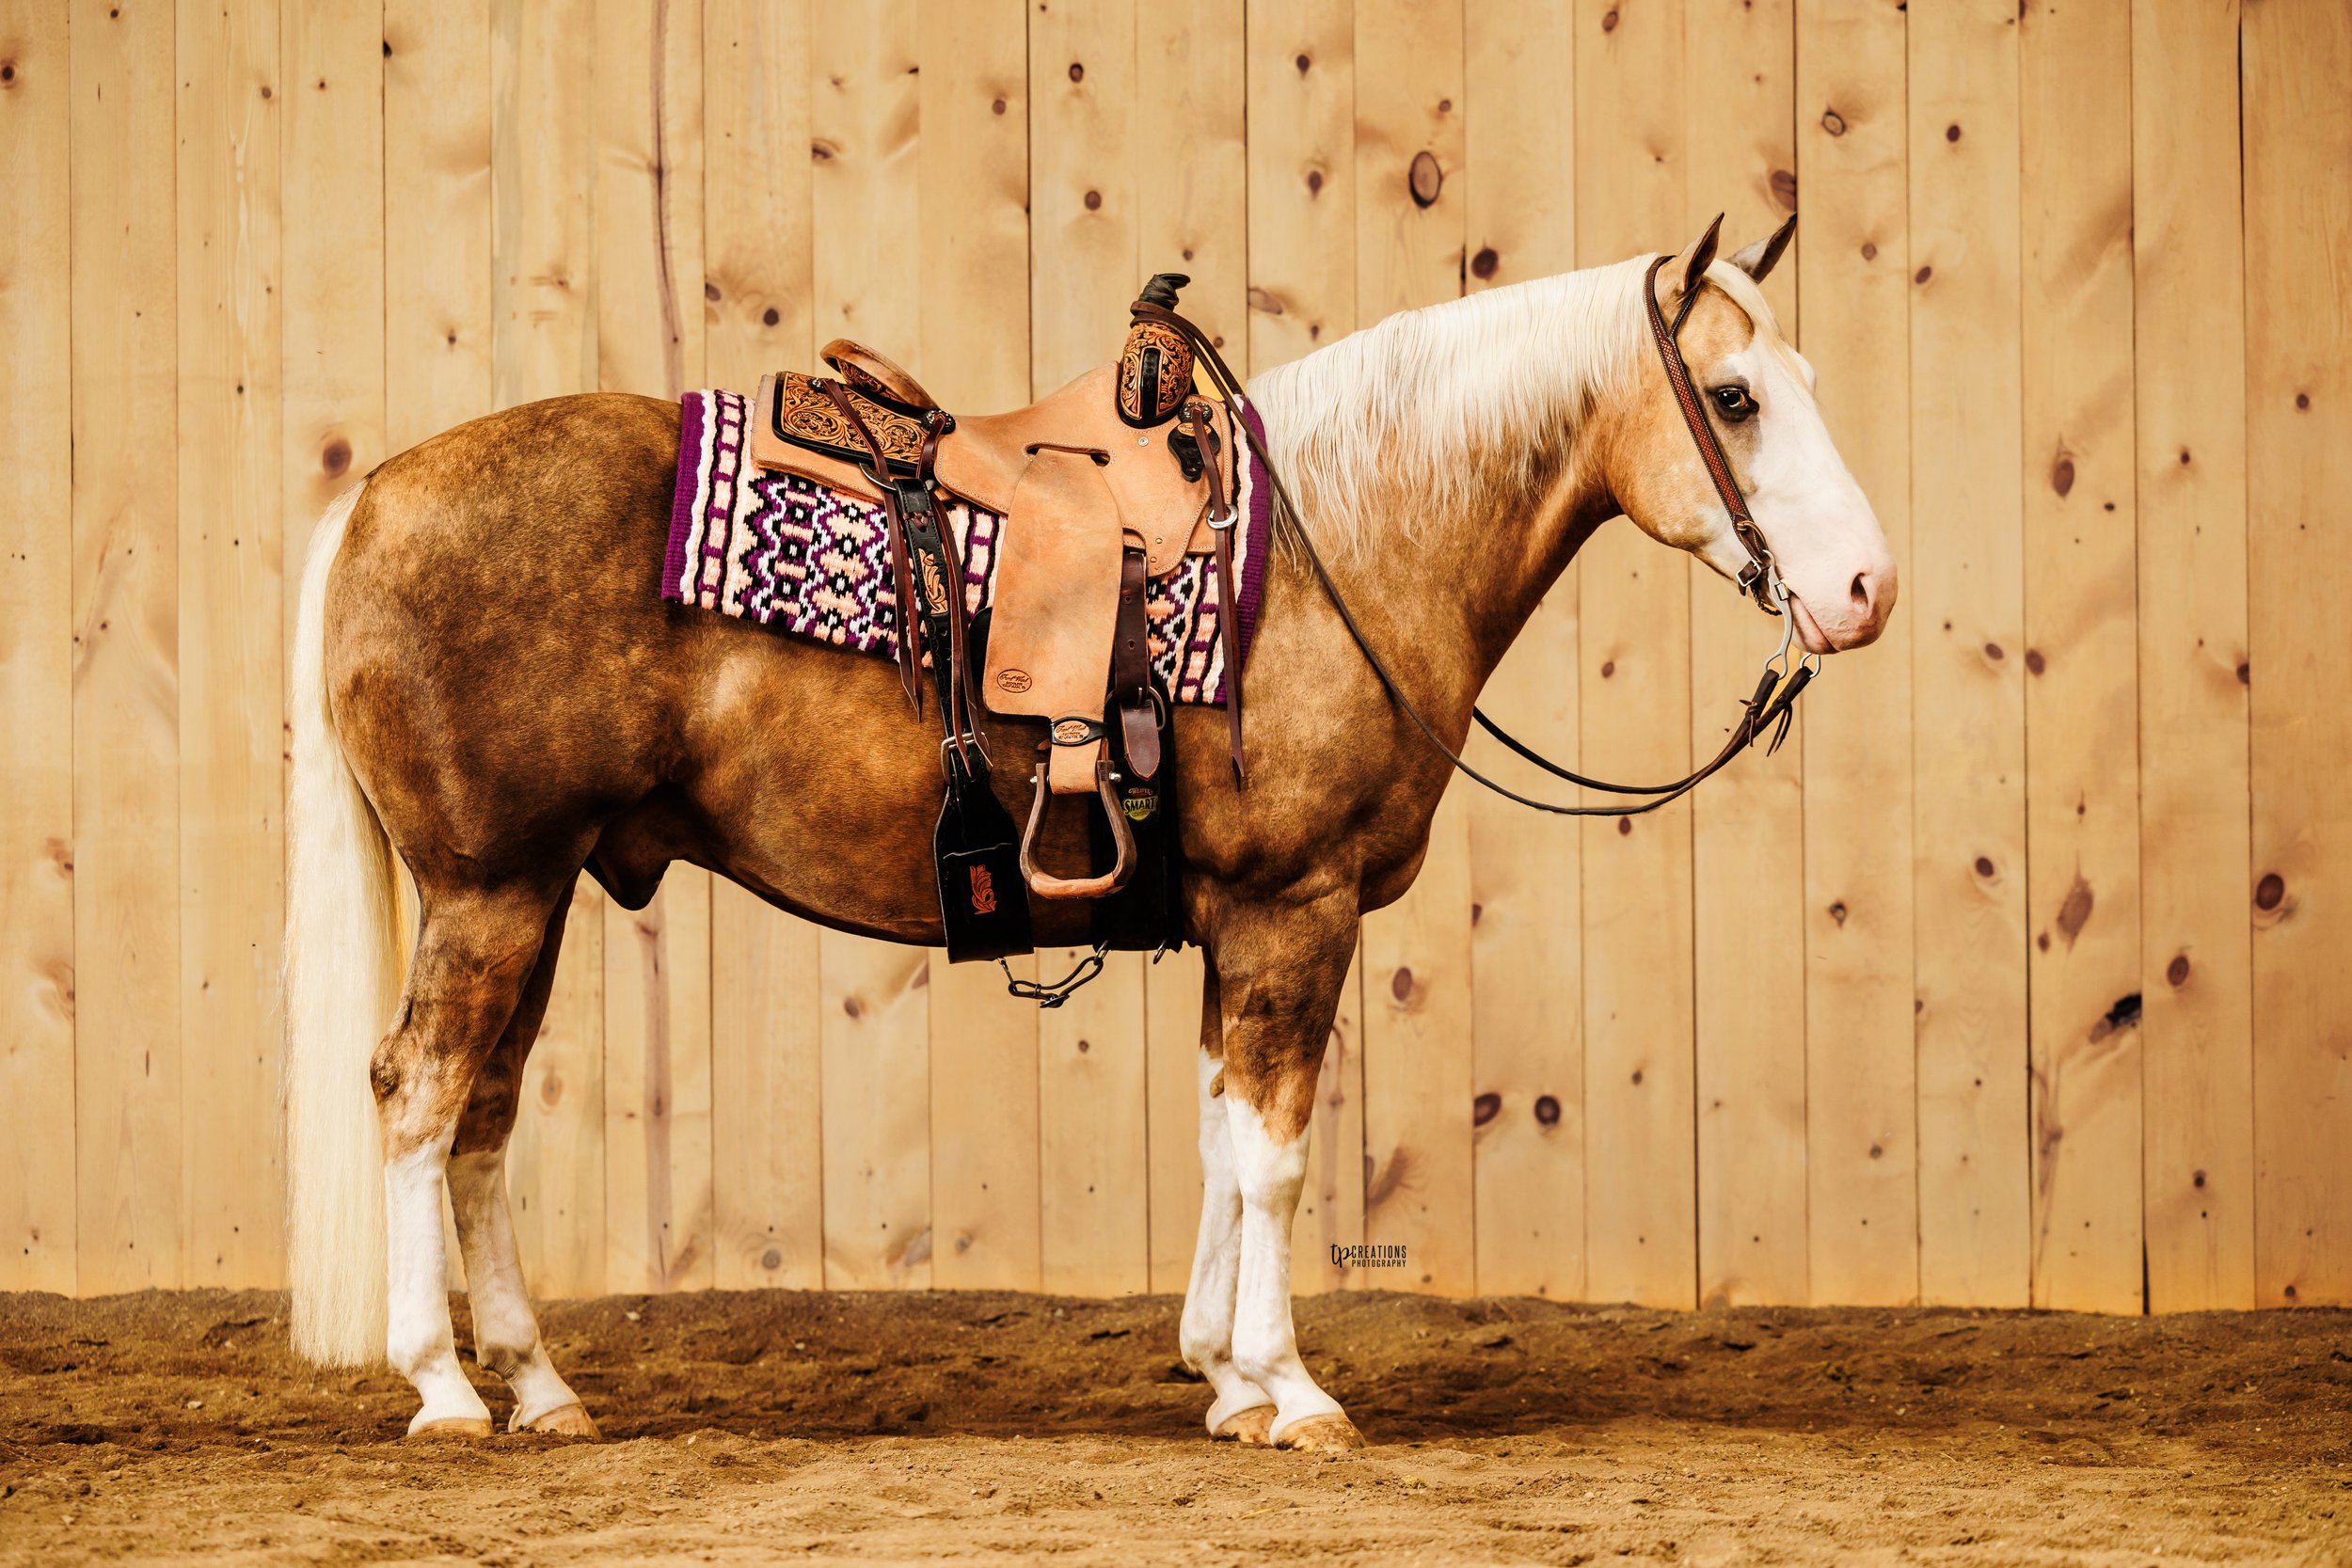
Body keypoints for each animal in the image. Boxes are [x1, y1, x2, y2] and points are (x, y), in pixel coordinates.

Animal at [282, 218, 1896, 1452]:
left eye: (1810, 378)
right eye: (1735, 396)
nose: (1866, 588)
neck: (1337, 545)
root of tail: (374, 495)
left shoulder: (1236, 923)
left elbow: (1222, 1131)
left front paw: (1230, 1378)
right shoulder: (1295, 907)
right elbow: (1276, 1154)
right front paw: (1295, 1389)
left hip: (533, 891)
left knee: (485, 1114)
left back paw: (540, 1385)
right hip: (491, 888)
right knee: (420, 1095)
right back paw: (443, 1387)